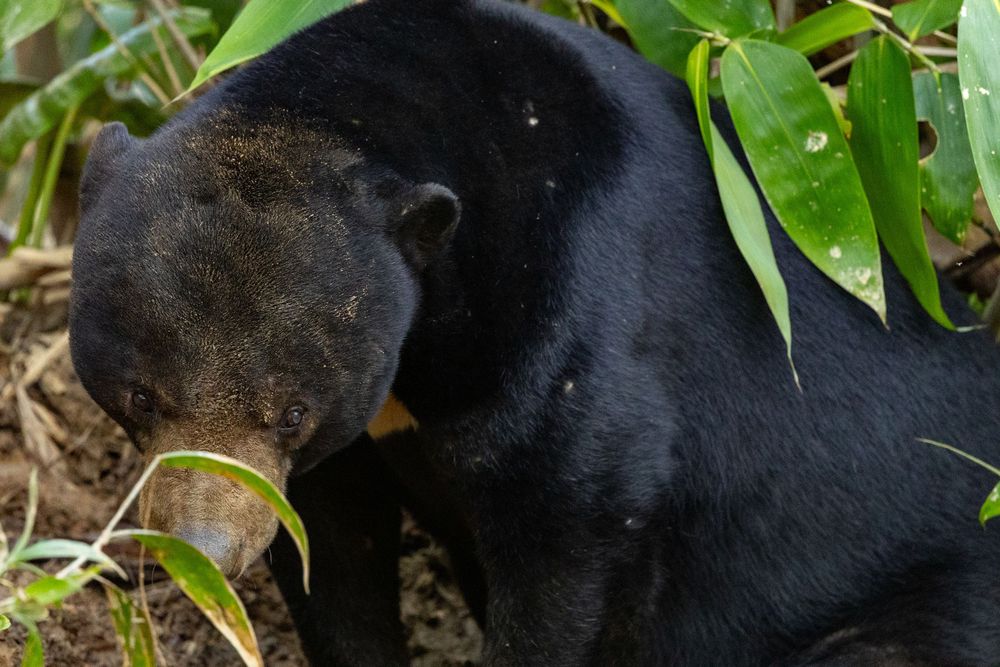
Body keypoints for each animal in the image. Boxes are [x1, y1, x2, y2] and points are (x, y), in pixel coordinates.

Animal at [68, 0, 1000, 664]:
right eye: (138, 394)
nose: (200, 549)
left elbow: (571, 516)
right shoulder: (347, 449)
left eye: (291, 411)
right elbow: (330, 543)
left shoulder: (572, 313)